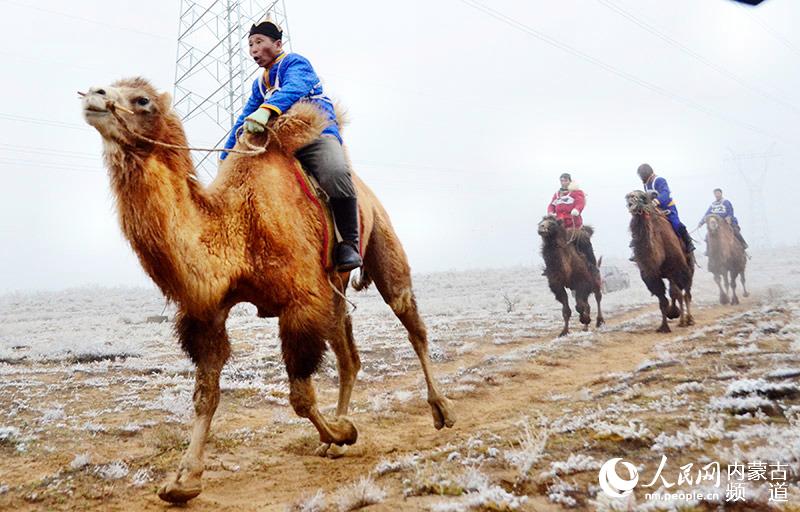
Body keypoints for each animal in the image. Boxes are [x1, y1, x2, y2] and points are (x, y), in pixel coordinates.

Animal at [81, 78, 456, 502]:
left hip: (382, 243)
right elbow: (205, 395)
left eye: (142, 100)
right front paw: (183, 481)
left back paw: (440, 410)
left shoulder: (301, 302)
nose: (93, 95)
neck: (238, 227)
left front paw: (344, 433)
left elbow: (300, 397)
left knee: (411, 322)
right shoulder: (209, 314)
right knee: (349, 358)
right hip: (335, 292)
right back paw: (338, 433)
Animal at [624, 191, 692, 332]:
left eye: (643, 197)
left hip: (688, 266)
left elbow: (677, 294)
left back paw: (689, 319)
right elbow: (663, 300)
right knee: (677, 293)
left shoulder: (677, 270)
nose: (630, 199)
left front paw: (679, 318)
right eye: (628, 197)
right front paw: (664, 326)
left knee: (686, 292)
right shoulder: (651, 277)